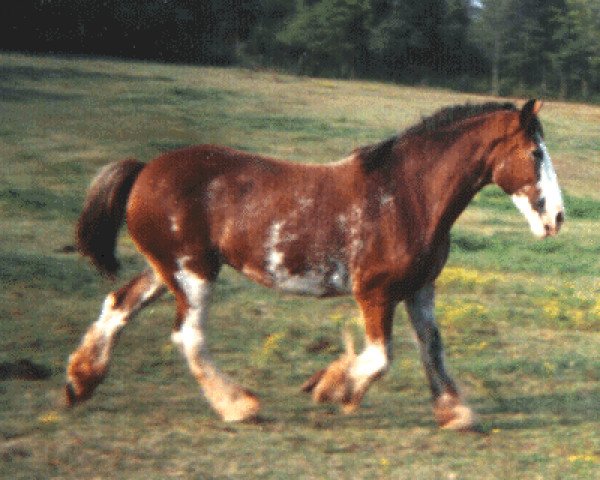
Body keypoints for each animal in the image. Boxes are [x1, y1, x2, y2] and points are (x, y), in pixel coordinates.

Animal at [65, 99, 564, 430]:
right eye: (536, 153)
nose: (557, 218)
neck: (407, 196)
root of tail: (144, 170)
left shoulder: (420, 289)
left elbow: (432, 347)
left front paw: (454, 411)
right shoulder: (375, 293)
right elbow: (380, 358)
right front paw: (329, 388)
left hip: (168, 269)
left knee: (119, 304)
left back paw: (80, 381)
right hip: (193, 273)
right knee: (189, 335)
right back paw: (238, 405)